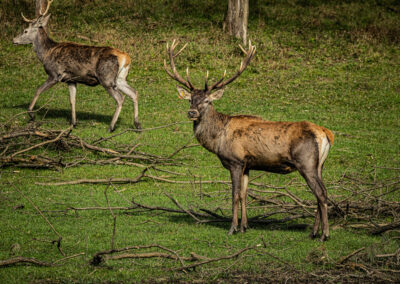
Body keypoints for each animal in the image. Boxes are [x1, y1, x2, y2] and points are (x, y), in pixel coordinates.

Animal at [12, 0, 141, 131]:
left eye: (25, 31)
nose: (13, 40)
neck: (46, 52)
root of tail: (125, 58)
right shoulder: (71, 79)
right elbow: (72, 100)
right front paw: (73, 123)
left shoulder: (55, 74)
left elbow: (38, 90)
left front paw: (31, 114)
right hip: (120, 79)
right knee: (134, 93)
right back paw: (137, 124)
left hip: (106, 78)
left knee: (120, 98)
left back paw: (111, 126)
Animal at [162, 39, 334, 240]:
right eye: (190, 100)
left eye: (207, 101)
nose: (192, 112)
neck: (218, 139)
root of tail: (325, 133)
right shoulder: (247, 165)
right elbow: (244, 194)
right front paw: (244, 226)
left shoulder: (235, 161)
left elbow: (235, 194)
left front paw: (232, 228)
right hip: (319, 165)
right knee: (321, 193)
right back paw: (314, 232)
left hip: (306, 162)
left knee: (321, 194)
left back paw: (324, 234)